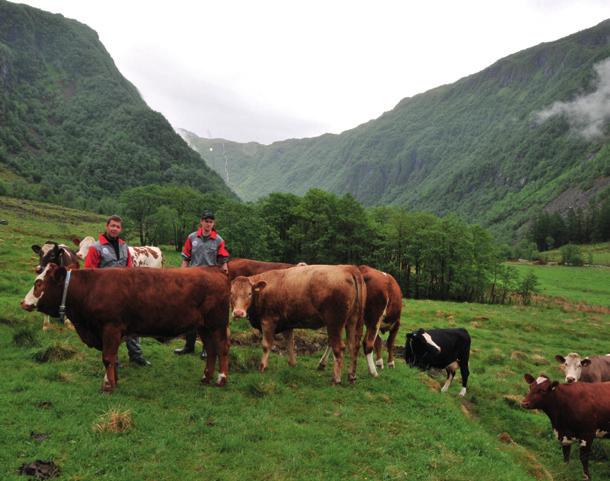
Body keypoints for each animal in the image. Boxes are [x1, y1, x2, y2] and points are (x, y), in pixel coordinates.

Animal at [21, 264, 229, 392]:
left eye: (39, 283)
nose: (23, 302)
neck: (90, 288)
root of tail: (215, 269)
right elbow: (112, 358)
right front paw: (114, 381)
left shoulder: (110, 328)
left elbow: (107, 358)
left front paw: (107, 385)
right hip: (204, 327)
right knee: (211, 351)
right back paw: (206, 378)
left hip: (217, 325)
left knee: (222, 349)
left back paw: (221, 379)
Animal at [229, 264, 364, 384]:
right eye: (231, 293)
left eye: (249, 293)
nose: (238, 312)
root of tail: (348, 269)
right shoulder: (286, 324)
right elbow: (290, 343)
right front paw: (292, 364)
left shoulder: (268, 321)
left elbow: (266, 345)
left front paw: (262, 367)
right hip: (351, 321)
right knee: (353, 346)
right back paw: (351, 375)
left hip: (334, 322)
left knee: (339, 347)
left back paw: (336, 379)